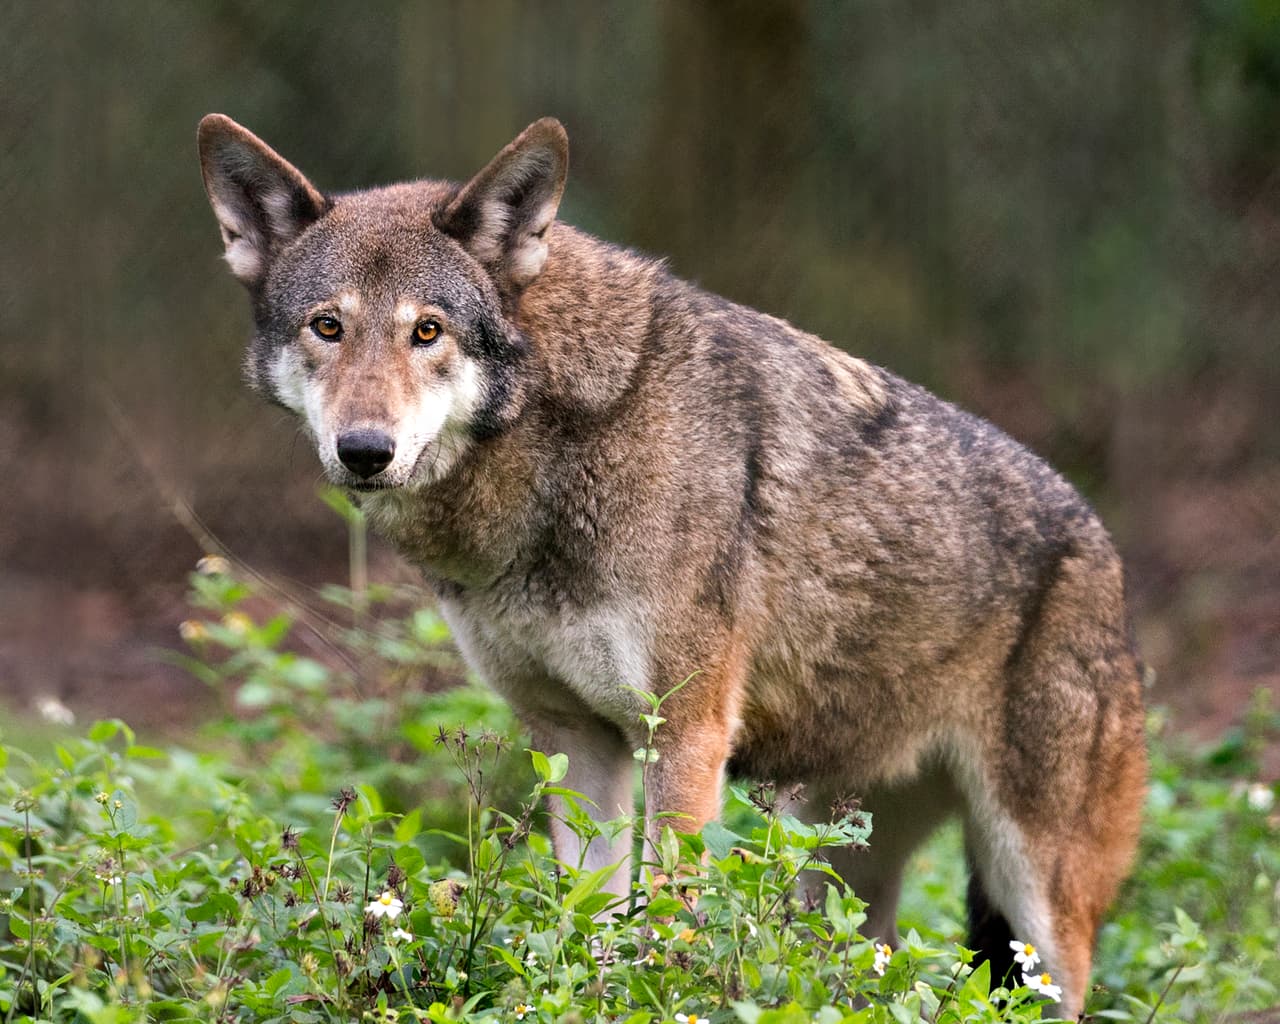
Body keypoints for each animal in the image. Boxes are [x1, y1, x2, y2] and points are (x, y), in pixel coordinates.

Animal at [198, 114, 1146, 1015]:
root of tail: (1103, 547)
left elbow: (667, 918)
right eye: (328, 327)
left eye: (426, 331)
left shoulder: (685, 733)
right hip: (835, 868)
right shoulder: (574, 737)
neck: (560, 443)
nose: (365, 450)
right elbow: (589, 919)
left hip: (1035, 899)